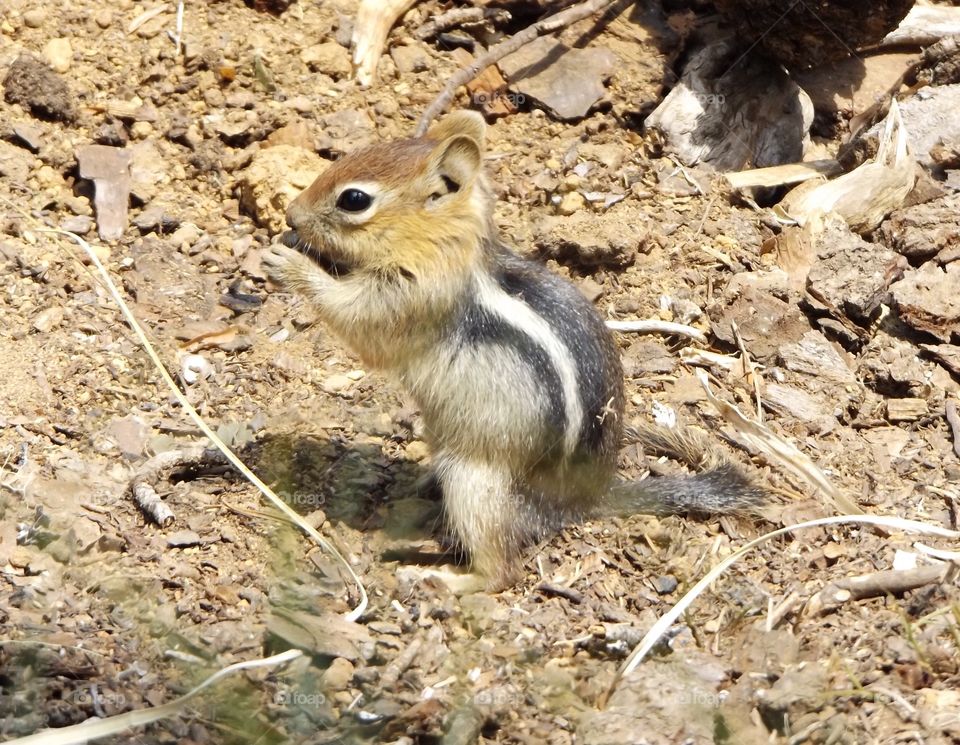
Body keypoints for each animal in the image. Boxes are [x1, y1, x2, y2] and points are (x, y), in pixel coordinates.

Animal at [263, 111, 763, 591]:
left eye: (354, 199)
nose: (289, 214)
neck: (447, 245)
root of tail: (579, 502)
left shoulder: (412, 297)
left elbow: (358, 322)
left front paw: (287, 263)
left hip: (475, 482)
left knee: (502, 570)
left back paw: (443, 580)